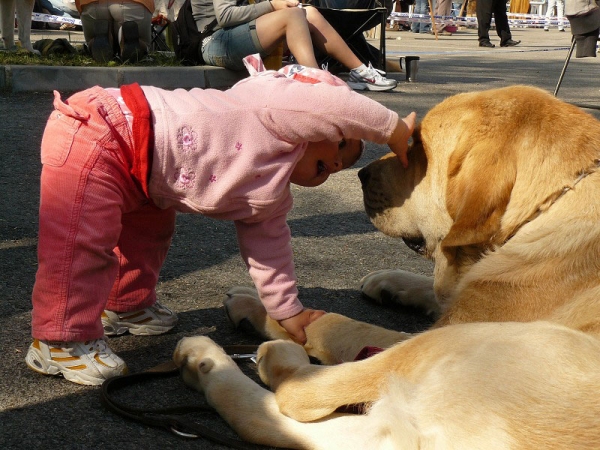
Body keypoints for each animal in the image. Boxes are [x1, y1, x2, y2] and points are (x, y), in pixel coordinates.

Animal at [172, 86, 600, 448]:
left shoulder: (448, 325)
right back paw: (206, 361)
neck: (550, 205)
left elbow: (336, 325)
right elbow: (436, 288)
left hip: (465, 344)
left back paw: (253, 358)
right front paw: (391, 282)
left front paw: (269, 310)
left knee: (300, 394)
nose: (360, 173)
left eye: (420, 150)